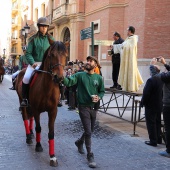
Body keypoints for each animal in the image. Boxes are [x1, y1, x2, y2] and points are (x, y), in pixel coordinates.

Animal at [15, 39, 68, 167]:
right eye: (51, 55)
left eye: (66, 55)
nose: (59, 77)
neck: (46, 88)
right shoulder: (37, 110)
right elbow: (38, 127)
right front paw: (38, 146)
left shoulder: (53, 111)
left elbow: (51, 132)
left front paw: (52, 156)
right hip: (23, 102)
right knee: (25, 117)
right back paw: (28, 136)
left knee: (30, 118)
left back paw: (31, 133)